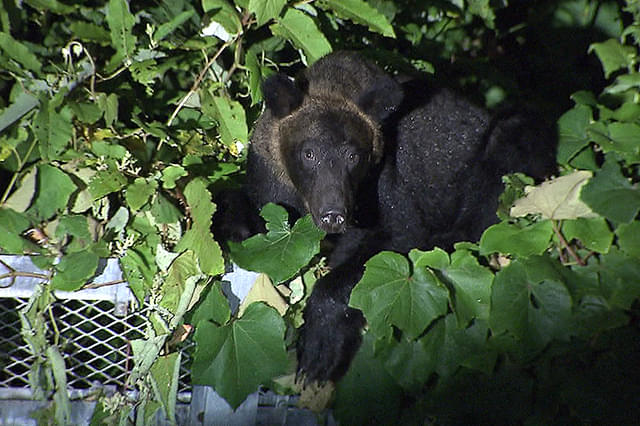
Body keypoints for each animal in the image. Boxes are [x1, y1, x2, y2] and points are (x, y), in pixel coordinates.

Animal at [215, 50, 556, 382]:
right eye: (308, 153)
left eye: (354, 155)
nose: (333, 214)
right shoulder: (269, 180)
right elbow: (259, 221)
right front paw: (231, 223)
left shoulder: (385, 188)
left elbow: (395, 241)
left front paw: (317, 350)